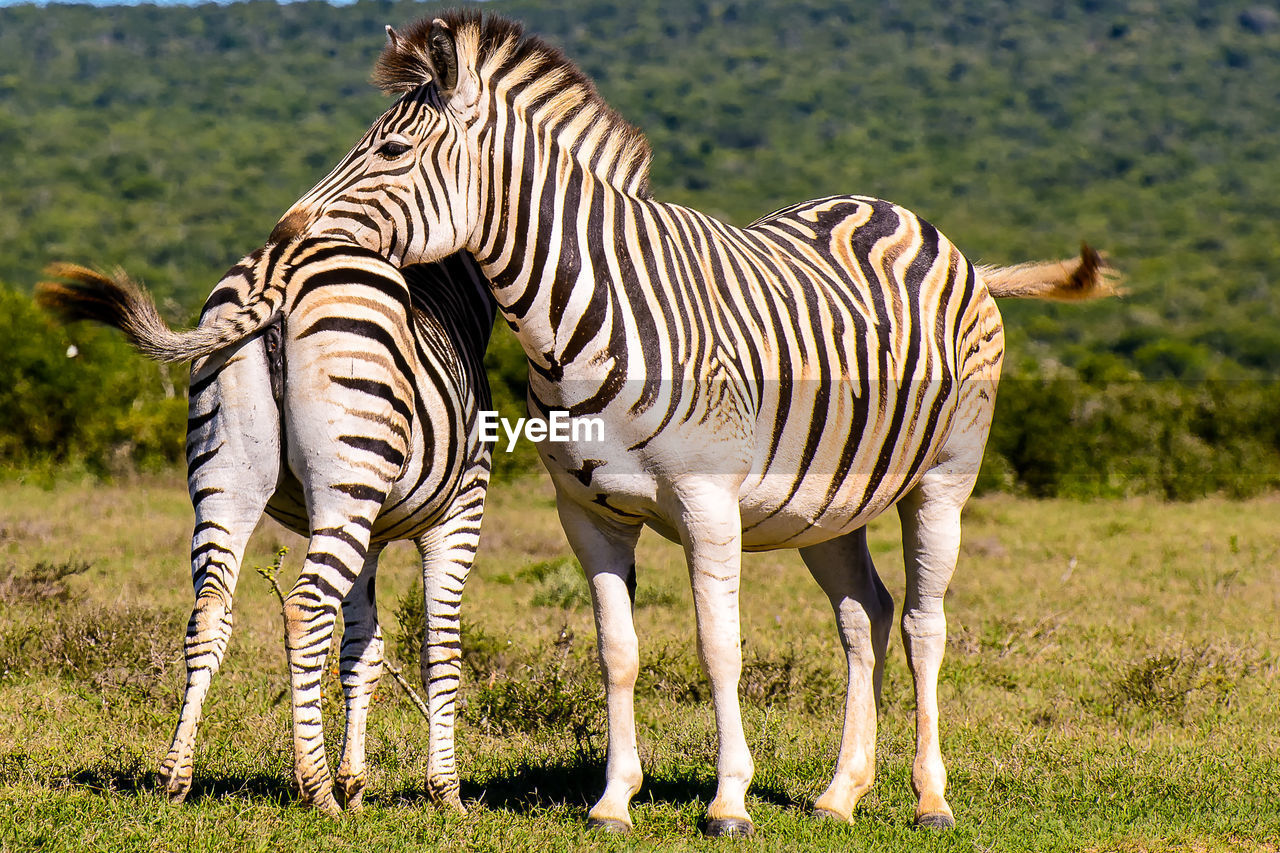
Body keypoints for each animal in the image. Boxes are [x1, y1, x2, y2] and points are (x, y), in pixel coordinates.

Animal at [35, 235, 494, 814]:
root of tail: (281, 272)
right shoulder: (460, 512)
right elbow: (441, 650)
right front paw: (445, 794)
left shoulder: (372, 533)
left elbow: (362, 650)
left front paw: (356, 784)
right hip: (345, 478)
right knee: (303, 609)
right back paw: (316, 788)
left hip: (231, 471)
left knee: (209, 611)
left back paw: (176, 777)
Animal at [264, 11, 1116, 835]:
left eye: (393, 149)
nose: (282, 238)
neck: (581, 320)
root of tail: (918, 224)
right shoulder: (587, 513)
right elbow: (617, 651)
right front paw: (613, 800)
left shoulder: (709, 504)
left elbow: (719, 646)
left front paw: (728, 801)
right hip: (830, 500)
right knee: (863, 615)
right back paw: (841, 792)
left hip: (944, 478)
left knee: (921, 625)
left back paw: (929, 797)